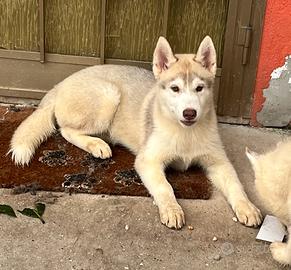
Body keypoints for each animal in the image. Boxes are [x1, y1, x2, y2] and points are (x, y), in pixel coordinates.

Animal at [10, 36, 264, 228]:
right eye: (175, 89)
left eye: (199, 88)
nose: (190, 113)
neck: (185, 133)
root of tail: (60, 84)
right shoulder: (148, 161)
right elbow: (164, 187)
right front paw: (172, 209)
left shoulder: (219, 162)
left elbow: (236, 185)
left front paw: (248, 207)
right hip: (108, 94)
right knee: (64, 129)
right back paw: (97, 145)